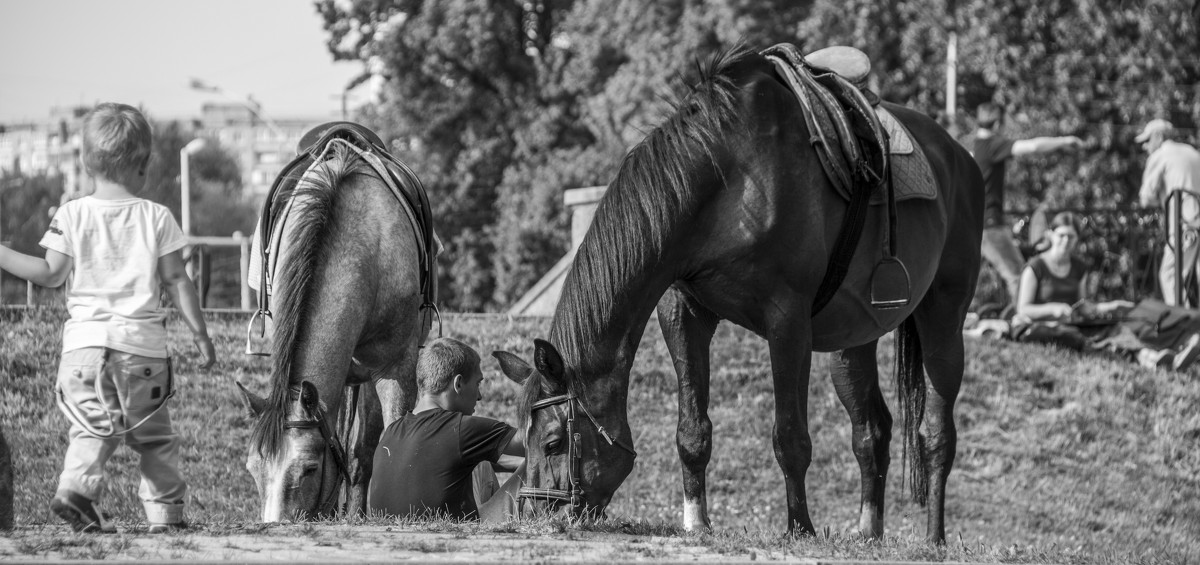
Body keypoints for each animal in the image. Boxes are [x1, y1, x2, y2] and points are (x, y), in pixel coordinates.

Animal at [231, 136, 434, 523]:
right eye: (251, 469)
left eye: (309, 469)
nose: (276, 524)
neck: (360, 251)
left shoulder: (395, 369)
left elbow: (384, 440)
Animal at [496, 45, 984, 544]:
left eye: (553, 442)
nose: (539, 515)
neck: (725, 178)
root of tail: (960, 156)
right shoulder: (684, 314)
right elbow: (692, 431)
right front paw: (696, 522)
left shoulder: (788, 321)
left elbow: (790, 437)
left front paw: (800, 528)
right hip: (852, 341)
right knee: (871, 431)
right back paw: (868, 533)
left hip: (943, 320)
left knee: (936, 433)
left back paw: (935, 538)